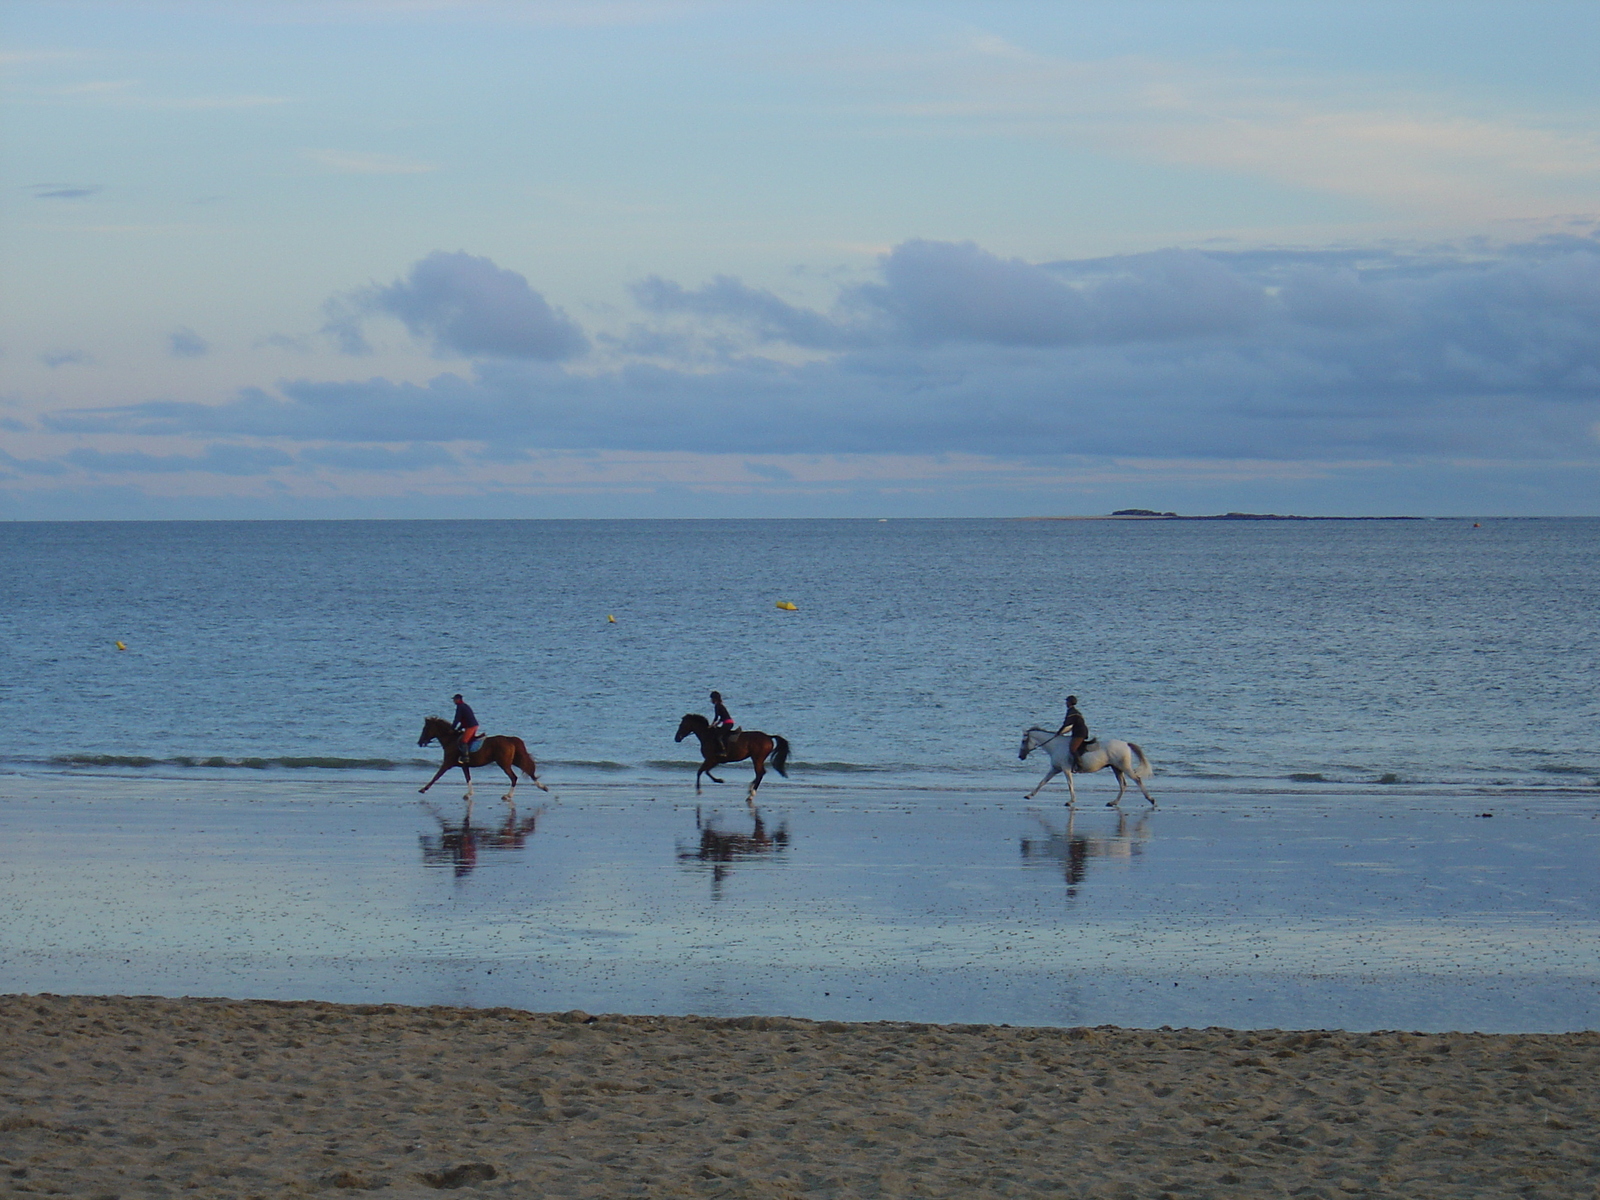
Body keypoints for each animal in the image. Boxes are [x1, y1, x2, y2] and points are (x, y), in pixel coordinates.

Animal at [419, 720, 550, 803]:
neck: (451, 740)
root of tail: (510, 739)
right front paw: (469, 794)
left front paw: (423, 789)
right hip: (514, 760)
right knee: (528, 770)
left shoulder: (447, 763)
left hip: (504, 764)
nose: (420, 742)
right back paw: (543, 787)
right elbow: (468, 778)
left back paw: (508, 795)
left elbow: (436, 776)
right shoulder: (464, 766)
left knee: (514, 777)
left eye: (425, 728)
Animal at [1017, 732, 1158, 809]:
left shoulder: (1065, 769)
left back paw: (1151, 799)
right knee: (1123, 785)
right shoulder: (1055, 769)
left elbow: (1070, 784)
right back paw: (1113, 802)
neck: (1055, 745)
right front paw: (1029, 795)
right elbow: (1042, 782)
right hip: (1116, 768)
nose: (1020, 756)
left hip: (1124, 767)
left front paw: (1071, 801)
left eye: (1024, 741)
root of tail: (1126, 744)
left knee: (1137, 780)